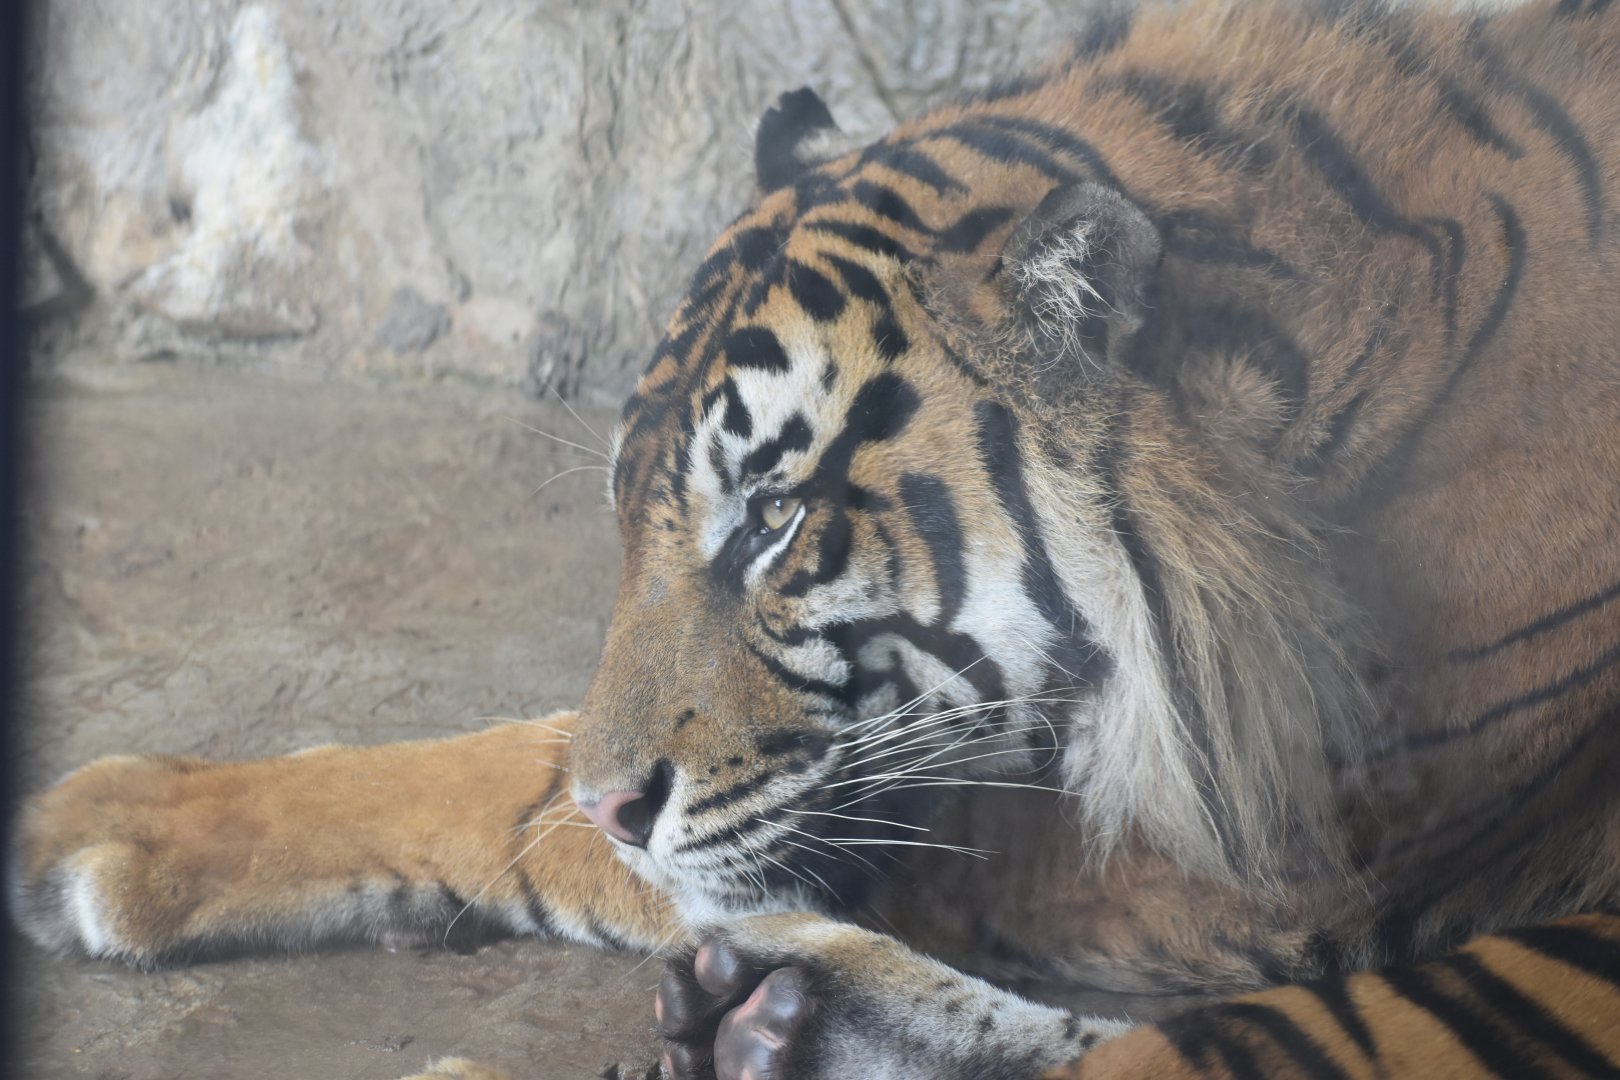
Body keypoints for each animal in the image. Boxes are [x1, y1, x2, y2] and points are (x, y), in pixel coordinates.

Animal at [12, 0, 1620, 1076]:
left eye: (775, 521)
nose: (621, 809)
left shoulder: (1264, 847)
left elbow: (594, 808)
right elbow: (521, 759)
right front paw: (111, 821)